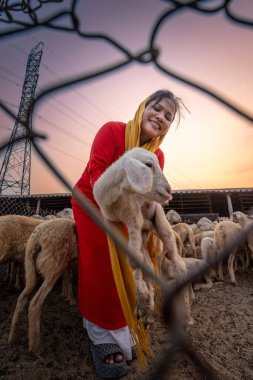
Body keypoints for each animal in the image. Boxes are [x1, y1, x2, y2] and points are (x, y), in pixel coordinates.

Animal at [8, 217, 77, 354]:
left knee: (22, 298)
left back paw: (13, 338)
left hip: (30, 267)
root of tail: (38, 233)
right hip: (54, 266)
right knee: (35, 303)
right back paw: (35, 347)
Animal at [93, 147, 192, 328]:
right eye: (148, 165)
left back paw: (186, 314)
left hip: (161, 224)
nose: (169, 191)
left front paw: (142, 298)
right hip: (145, 232)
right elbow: (135, 261)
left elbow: (132, 260)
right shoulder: (118, 220)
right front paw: (143, 300)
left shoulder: (133, 217)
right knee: (148, 265)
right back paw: (150, 310)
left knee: (178, 264)